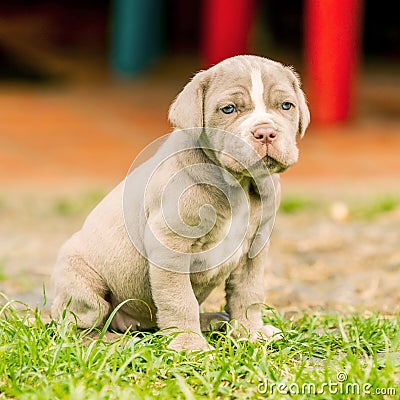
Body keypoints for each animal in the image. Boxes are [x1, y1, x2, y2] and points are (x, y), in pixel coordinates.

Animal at [51, 55, 310, 350]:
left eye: (286, 105)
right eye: (229, 109)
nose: (266, 132)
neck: (237, 184)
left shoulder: (255, 249)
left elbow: (248, 291)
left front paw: (250, 332)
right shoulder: (169, 247)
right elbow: (179, 299)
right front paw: (190, 345)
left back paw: (211, 321)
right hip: (80, 278)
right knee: (76, 326)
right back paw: (111, 341)